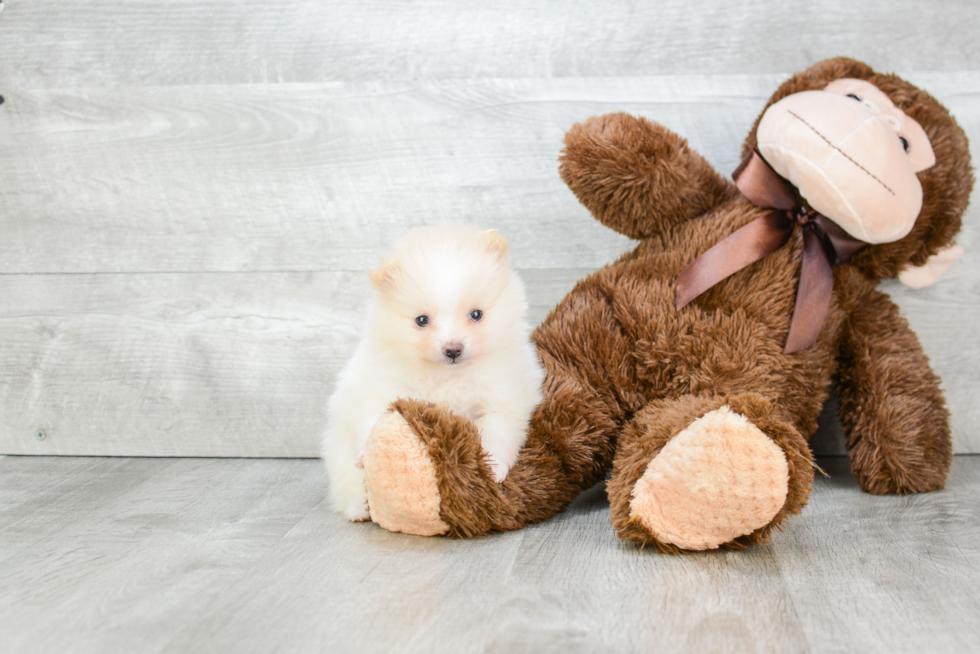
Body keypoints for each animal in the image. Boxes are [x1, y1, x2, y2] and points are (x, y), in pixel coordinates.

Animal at [326, 226, 548, 524]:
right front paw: (366, 452)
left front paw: (492, 467)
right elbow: (371, 420)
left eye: (476, 314)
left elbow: (497, 432)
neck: (448, 376)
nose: (453, 349)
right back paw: (360, 508)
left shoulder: (504, 398)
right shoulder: (377, 386)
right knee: (348, 486)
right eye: (422, 320)